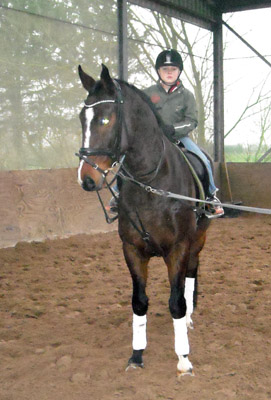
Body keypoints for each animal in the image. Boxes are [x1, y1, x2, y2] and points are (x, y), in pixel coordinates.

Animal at [77, 64, 211, 376]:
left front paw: (183, 359)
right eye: (81, 119)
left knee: (191, 272)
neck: (152, 182)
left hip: (198, 238)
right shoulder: (132, 250)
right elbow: (139, 303)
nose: (87, 179)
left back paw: (189, 319)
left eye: (105, 119)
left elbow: (176, 302)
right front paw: (136, 355)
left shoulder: (178, 248)